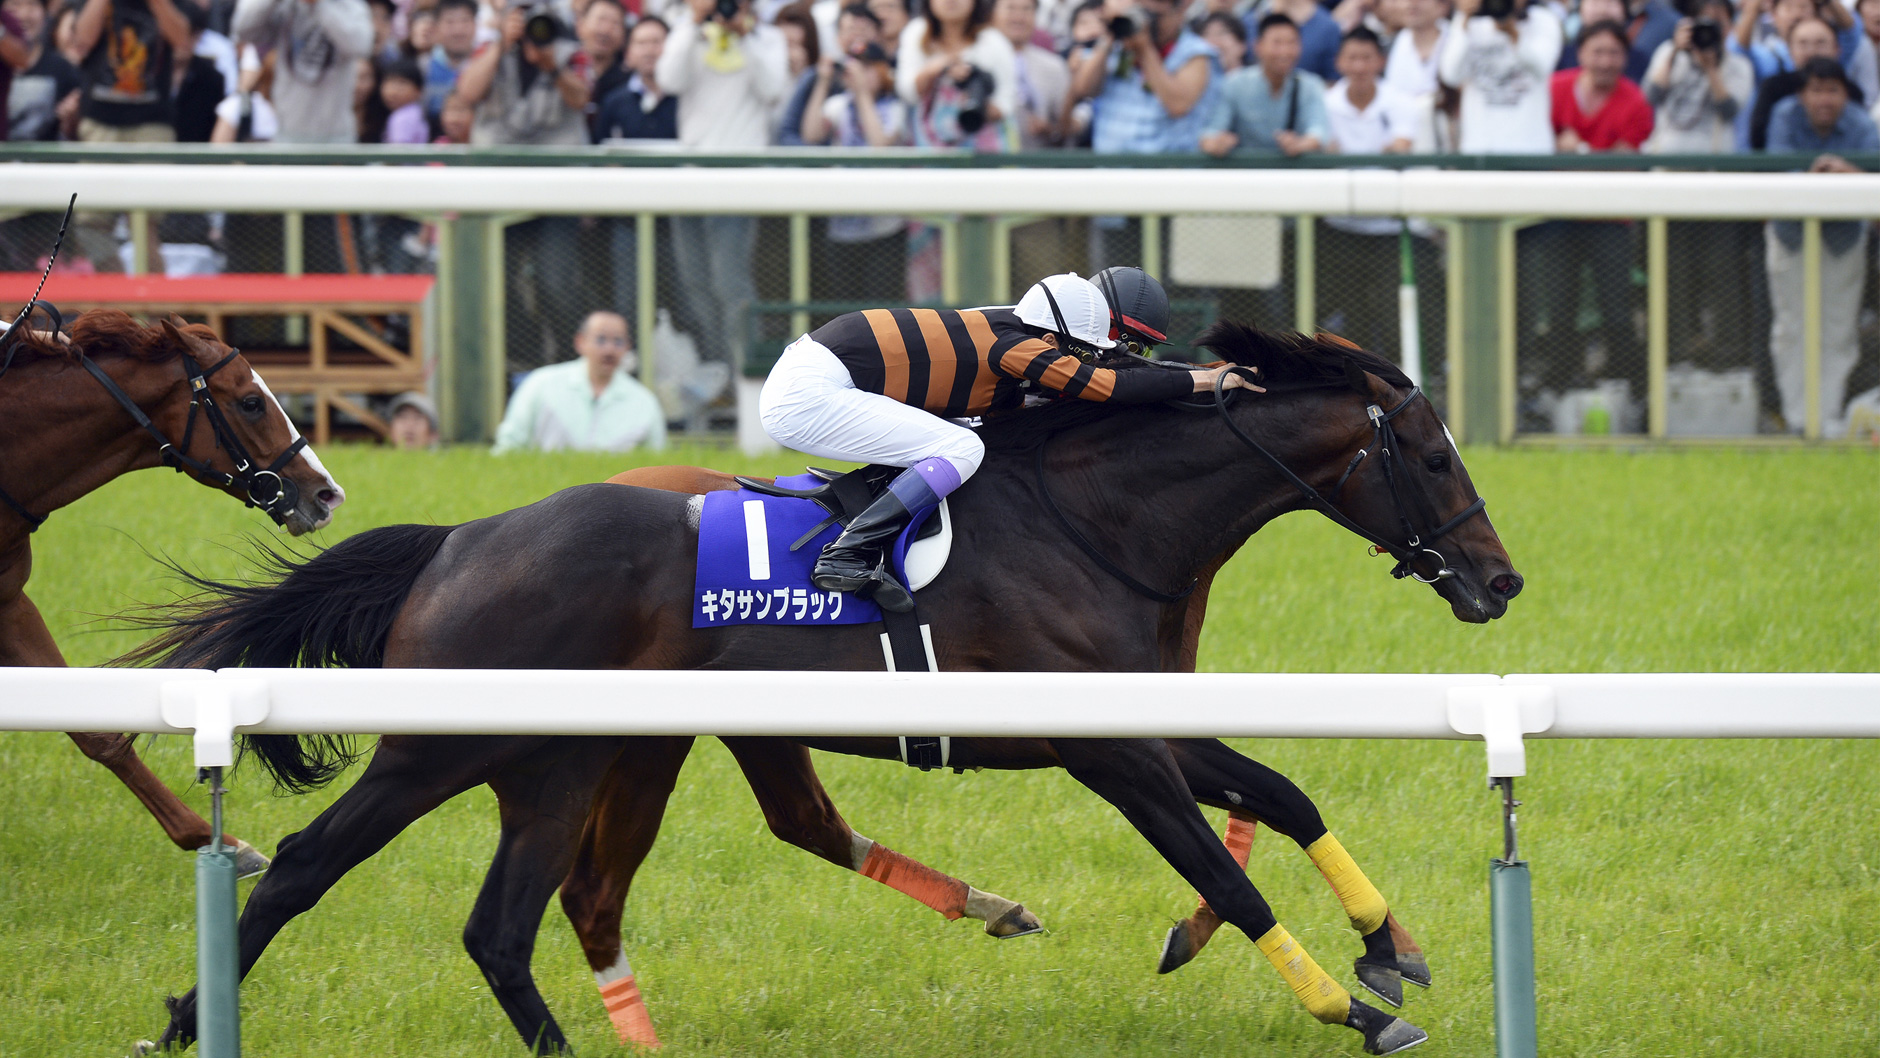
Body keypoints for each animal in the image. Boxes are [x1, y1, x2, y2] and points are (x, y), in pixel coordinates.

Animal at [132, 323, 1521, 1057]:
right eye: (1429, 450)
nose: (1499, 580)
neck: (1095, 520)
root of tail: (460, 541)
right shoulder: (1102, 745)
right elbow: (1226, 876)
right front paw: (1351, 1003)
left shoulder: (1140, 720)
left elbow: (1282, 792)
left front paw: (1389, 943)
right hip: (459, 746)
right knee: (339, 874)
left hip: (577, 758)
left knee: (512, 908)